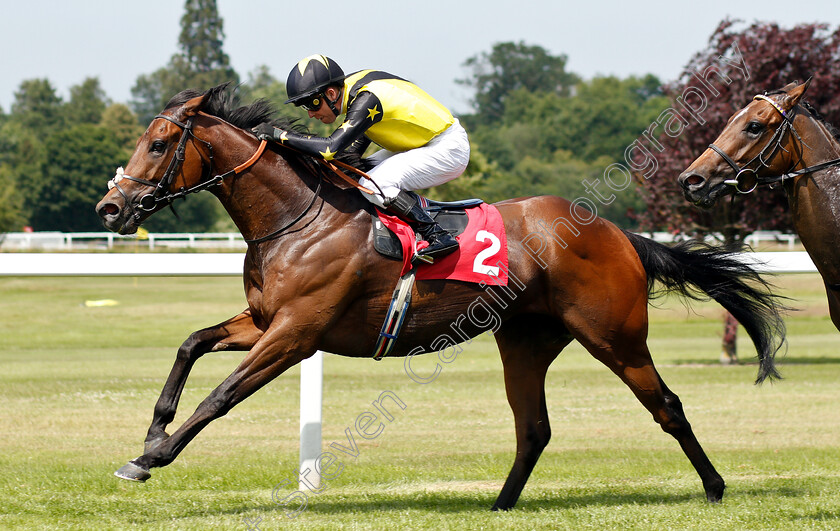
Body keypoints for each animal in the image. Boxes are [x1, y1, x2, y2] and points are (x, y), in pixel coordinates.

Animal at [95, 83, 784, 512]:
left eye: (159, 144)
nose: (111, 207)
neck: (296, 218)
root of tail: (615, 230)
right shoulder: (265, 320)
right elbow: (191, 345)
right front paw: (154, 426)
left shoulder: (295, 333)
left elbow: (220, 396)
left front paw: (150, 455)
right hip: (525, 340)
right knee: (533, 428)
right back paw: (500, 504)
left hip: (615, 336)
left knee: (666, 406)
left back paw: (715, 487)